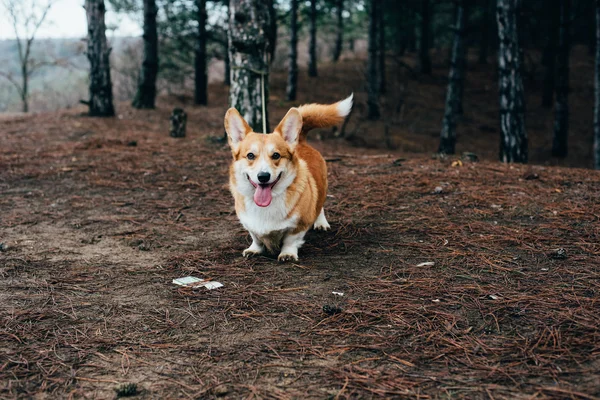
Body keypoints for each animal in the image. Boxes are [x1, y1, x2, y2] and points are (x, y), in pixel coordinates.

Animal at [225, 95, 352, 260]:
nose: (263, 176)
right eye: (250, 155)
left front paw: (288, 254)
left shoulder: (299, 225)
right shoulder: (249, 224)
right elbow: (256, 238)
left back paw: (321, 223)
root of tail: (301, 141)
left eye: (276, 155)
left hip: (322, 188)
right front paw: (254, 249)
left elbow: (290, 240)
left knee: (320, 206)